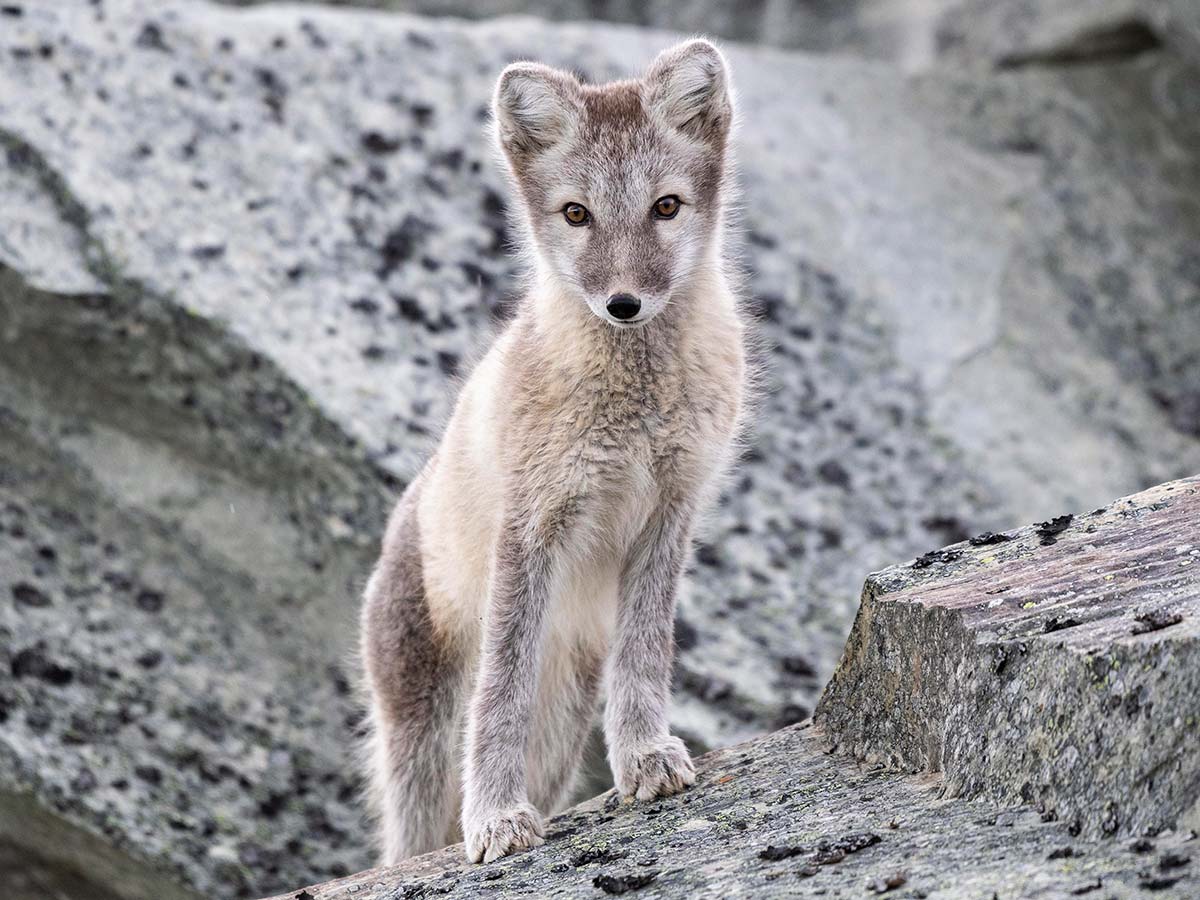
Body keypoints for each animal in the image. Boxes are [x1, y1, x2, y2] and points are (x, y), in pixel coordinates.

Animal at [360, 40, 744, 868]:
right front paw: (496, 819)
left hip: (564, 716)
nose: (624, 303)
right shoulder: (531, 527)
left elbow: (646, 656)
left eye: (666, 206)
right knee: (410, 830)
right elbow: (500, 692)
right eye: (577, 213)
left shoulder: (671, 512)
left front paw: (645, 758)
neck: (635, 411)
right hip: (422, 733)